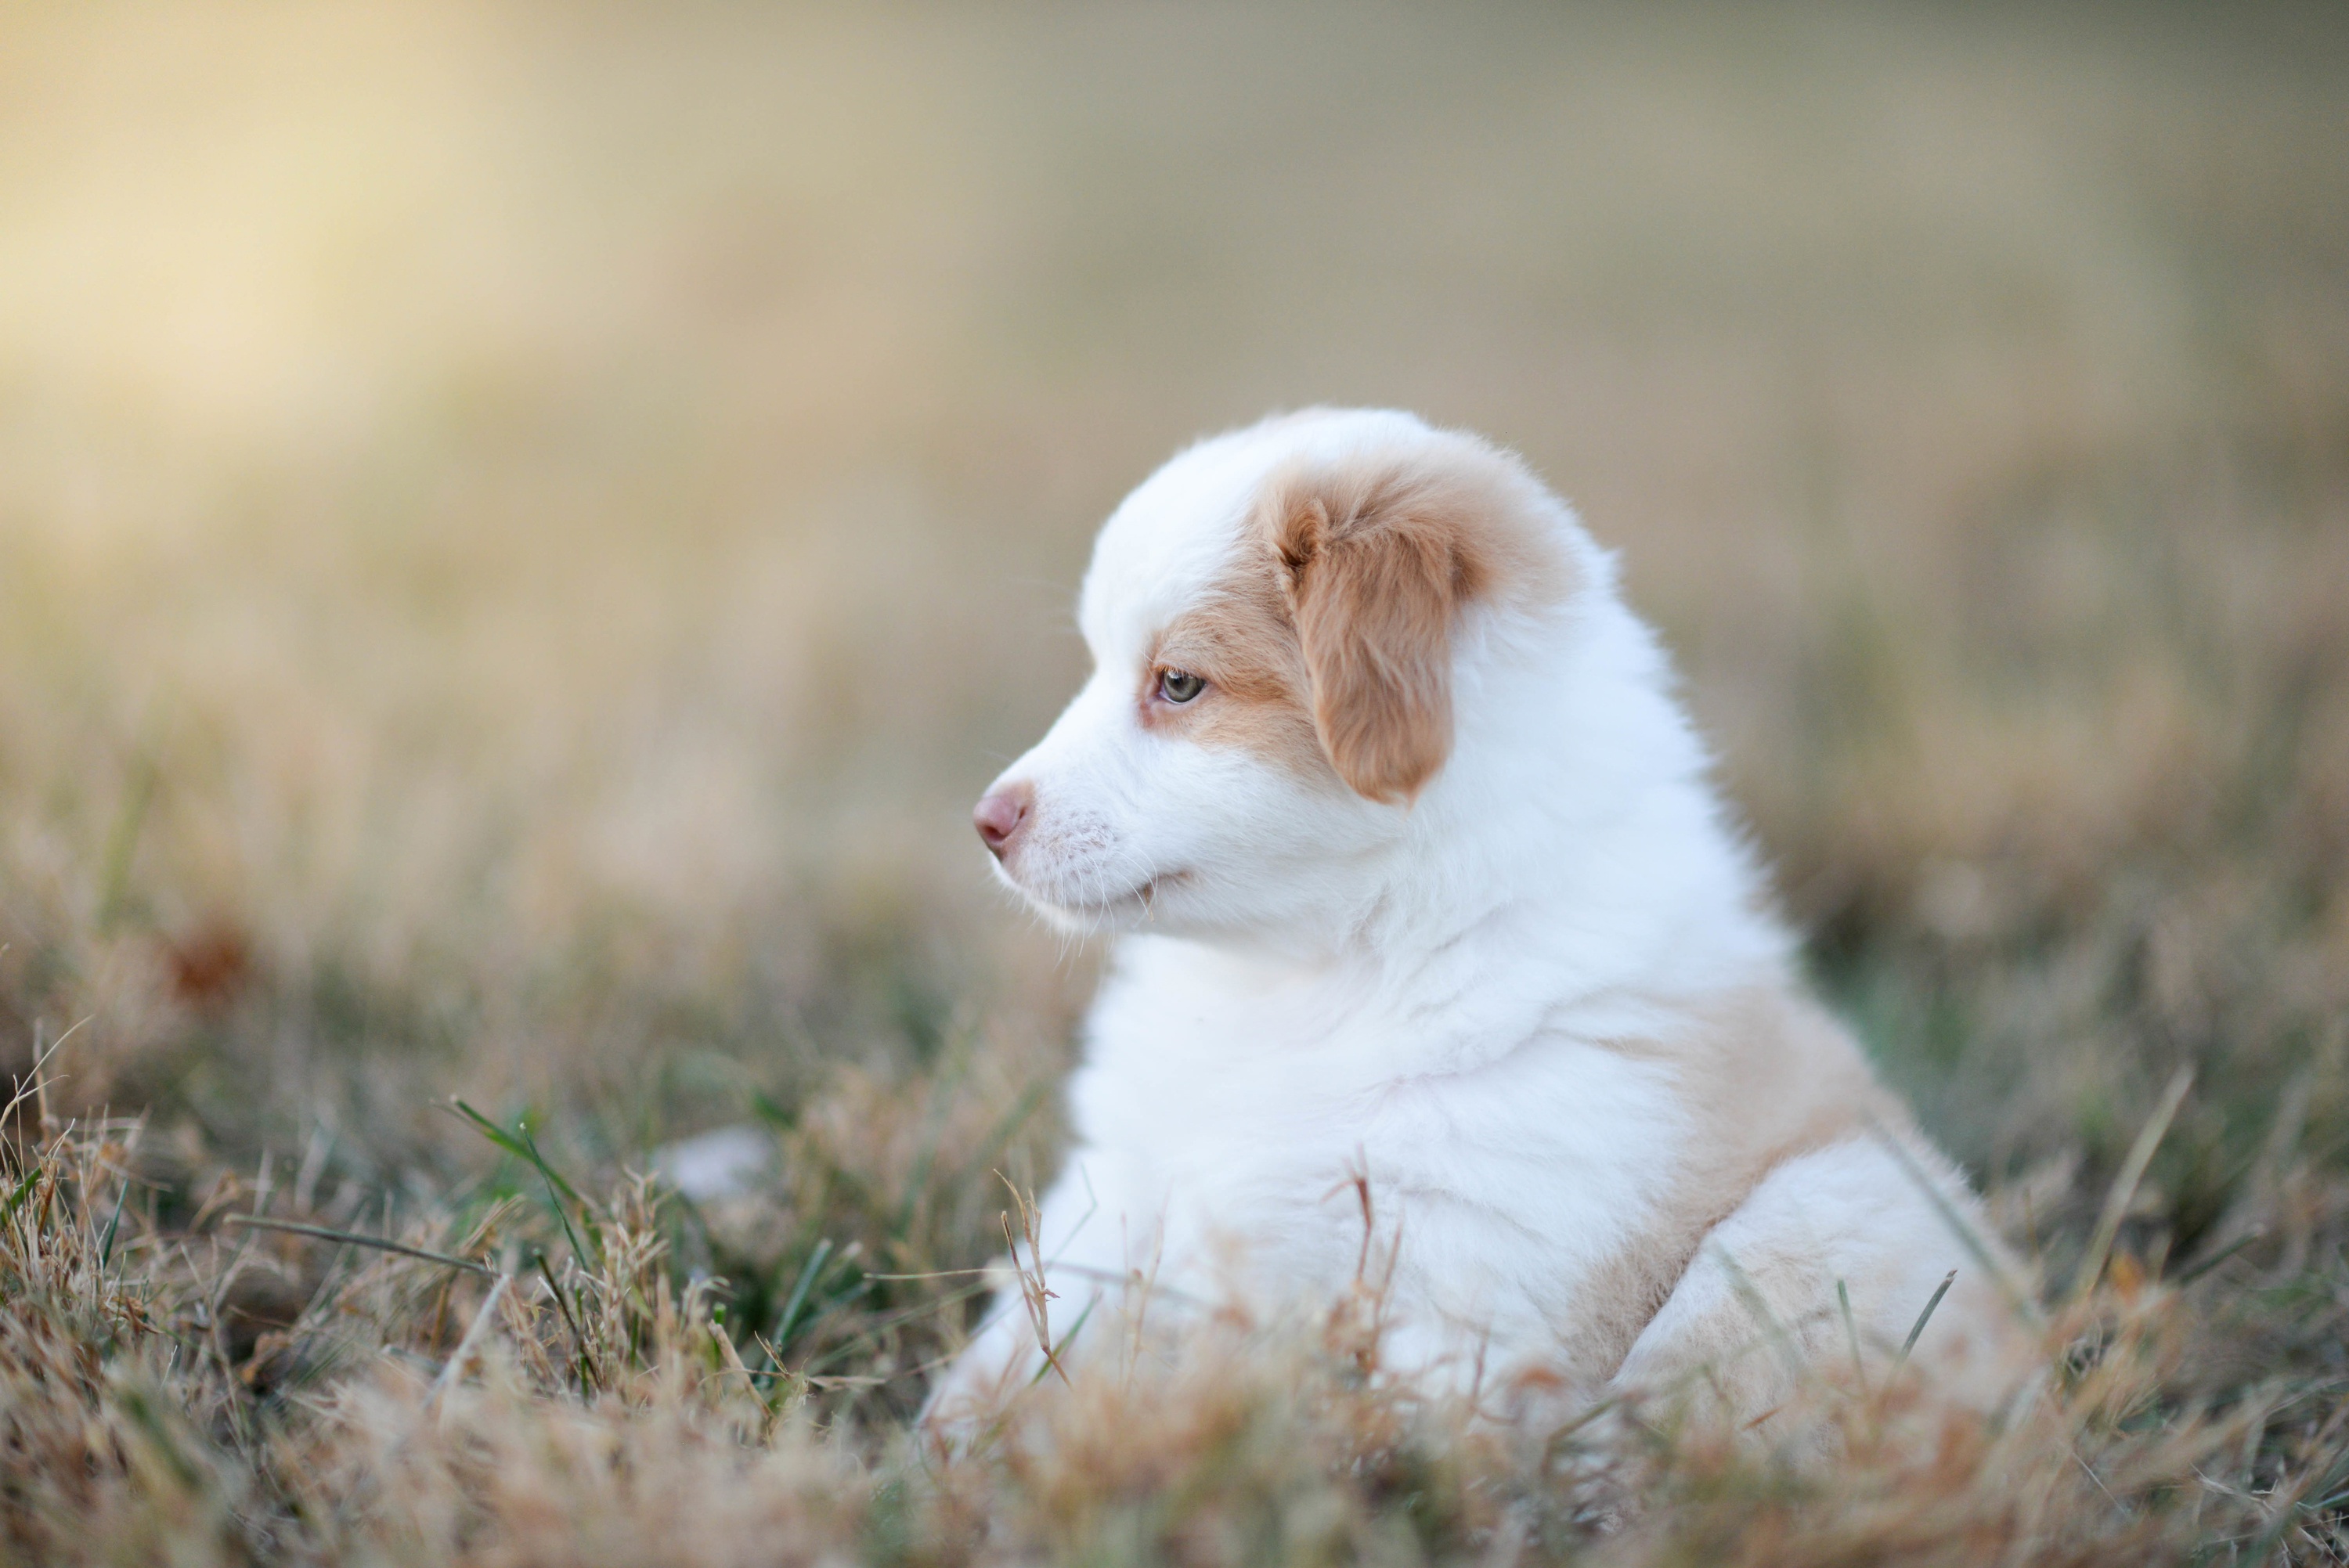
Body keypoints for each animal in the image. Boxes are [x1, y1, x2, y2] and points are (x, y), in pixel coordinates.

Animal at [926, 408, 2030, 1436]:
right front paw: (951, 1446)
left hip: (1827, 1212)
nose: (988, 820)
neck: (1313, 975)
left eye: (1180, 682)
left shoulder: (1467, 1275)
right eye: (1097, 666)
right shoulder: (1122, 1184)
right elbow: (1033, 1325)